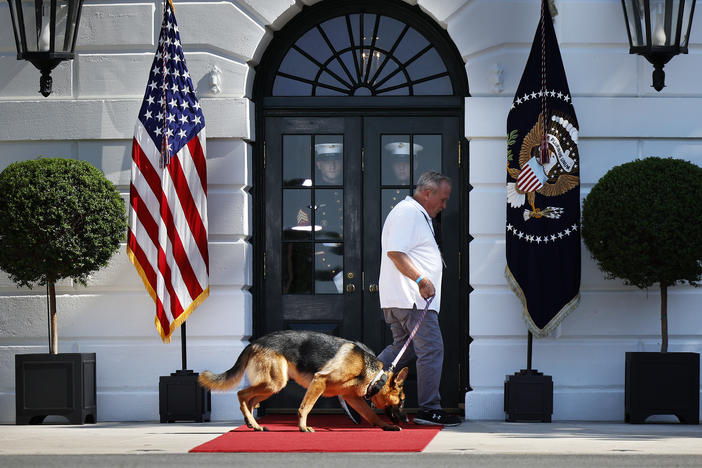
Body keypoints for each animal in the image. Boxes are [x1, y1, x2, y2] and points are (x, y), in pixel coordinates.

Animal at [198, 330, 410, 432]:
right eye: (402, 401)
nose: (408, 420)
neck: (375, 377)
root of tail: (254, 343)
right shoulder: (319, 381)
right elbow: (305, 407)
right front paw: (302, 427)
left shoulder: (352, 398)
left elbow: (372, 415)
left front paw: (386, 426)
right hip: (274, 383)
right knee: (241, 394)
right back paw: (253, 422)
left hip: (271, 386)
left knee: (250, 400)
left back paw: (253, 424)